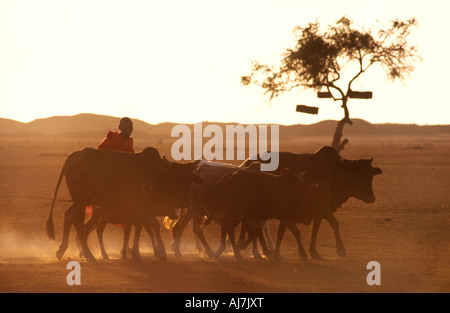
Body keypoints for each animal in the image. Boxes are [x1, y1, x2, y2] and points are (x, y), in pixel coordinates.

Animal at [45, 146, 200, 260]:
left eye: (189, 179)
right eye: (176, 177)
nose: (183, 202)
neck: (154, 174)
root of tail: (71, 157)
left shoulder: (139, 212)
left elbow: (139, 228)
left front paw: (135, 253)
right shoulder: (142, 207)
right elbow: (153, 226)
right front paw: (161, 251)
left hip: (81, 201)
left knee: (69, 216)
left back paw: (62, 250)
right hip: (80, 201)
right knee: (78, 224)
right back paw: (89, 255)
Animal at [241, 145, 382, 258]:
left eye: (371, 175)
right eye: (359, 174)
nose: (372, 198)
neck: (334, 171)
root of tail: (247, 162)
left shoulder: (319, 212)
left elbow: (316, 229)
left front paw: (313, 251)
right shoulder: (321, 209)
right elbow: (334, 224)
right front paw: (340, 249)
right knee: (256, 227)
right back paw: (262, 251)